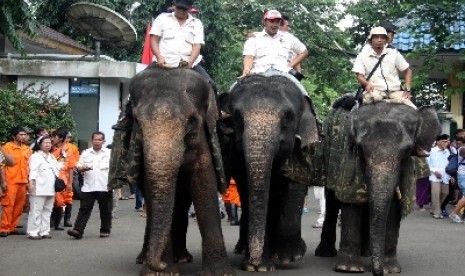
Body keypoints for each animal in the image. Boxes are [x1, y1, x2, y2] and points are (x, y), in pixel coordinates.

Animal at [110, 65, 234, 276]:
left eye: (191, 121)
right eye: (137, 122)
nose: (159, 263)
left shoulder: (204, 140)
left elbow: (204, 184)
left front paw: (220, 273)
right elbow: (151, 188)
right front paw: (161, 272)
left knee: (182, 203)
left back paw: (182, 258)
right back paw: (146, 258)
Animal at [218, 73, 320, 272]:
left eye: (288, 117)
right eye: (237, 118)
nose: (255, 262)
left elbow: (296, 184)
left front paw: (289, 257)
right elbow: (248, 189)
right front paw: (259, 267)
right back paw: (244, 249)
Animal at [312, 98, 438, 274]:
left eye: (407, 150)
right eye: (360, 148)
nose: (377, 271)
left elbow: (394, 206)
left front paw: (390, 269)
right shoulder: (348, 159)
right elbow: (350, 200)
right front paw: (348, 268)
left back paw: (366, 253)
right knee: (331, 200)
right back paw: (326, 253)